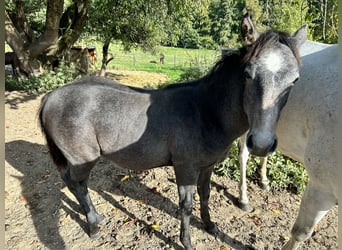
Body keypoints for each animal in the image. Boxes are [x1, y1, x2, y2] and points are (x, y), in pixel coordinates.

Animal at [38, 14, 308, 250]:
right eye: (248, 74)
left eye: (295, 80)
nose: (261, 144)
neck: (205, 111)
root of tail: (52, 96)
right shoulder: (185, 168)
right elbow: (186, 205)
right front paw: (186, 242)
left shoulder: (207, 166)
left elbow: (205, 195)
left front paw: (210, 226)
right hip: (82, 159)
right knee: (79, 185)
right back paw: (93, 225)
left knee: (71, 183)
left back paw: (96, 218)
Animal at [236, 18, 338, 249]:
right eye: (247, 74)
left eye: (295, 80)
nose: (260, 143)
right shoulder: (321, 188)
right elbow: (300, 232)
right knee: (244, 154)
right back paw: (244, 198)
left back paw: (264, 180)